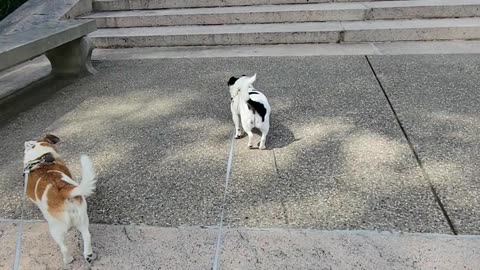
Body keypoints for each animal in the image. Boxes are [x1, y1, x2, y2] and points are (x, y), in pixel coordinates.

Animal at [23, 134, 96, 264]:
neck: (39, 159)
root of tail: (62, 190)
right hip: (82, 217)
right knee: (87, 235)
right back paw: (88, 255)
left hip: (56, 229)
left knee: (64, 247)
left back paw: (68, 260)